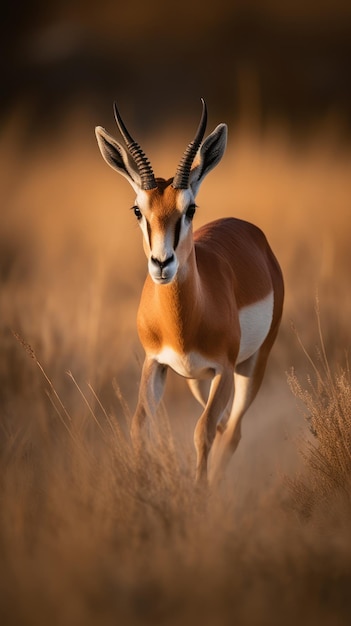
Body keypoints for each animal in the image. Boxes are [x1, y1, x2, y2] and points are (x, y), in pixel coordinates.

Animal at [95, 98, 284, 482]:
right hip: (198, 380)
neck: (182, 322)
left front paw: (199, 494)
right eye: (138, 209)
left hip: (251, 366)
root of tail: (251, 232)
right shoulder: (155, 364)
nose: (161, 263)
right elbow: (140, 426)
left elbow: (203, 431)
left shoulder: (224, 369)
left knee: (232, 430)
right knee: (226, 425)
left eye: (190, 208)